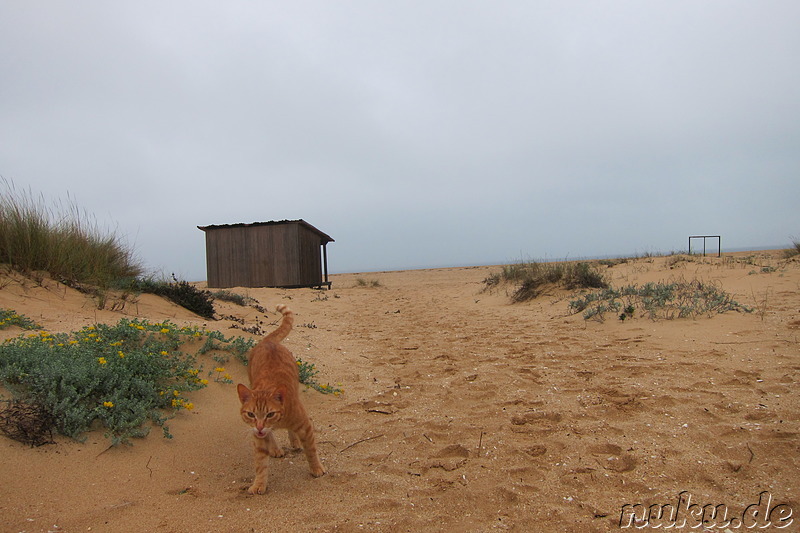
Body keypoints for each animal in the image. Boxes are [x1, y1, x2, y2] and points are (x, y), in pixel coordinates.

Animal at [238, 306, 324, 492]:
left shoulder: (305, 426)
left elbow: (311, 450)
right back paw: (276, 448)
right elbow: (260, 465)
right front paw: (259, 484)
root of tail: (267, 341)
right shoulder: (258, 438)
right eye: (251, 414)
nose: (260, 427)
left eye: (270, 414)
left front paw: (316, 469)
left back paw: (294, 441)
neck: (279, 422)